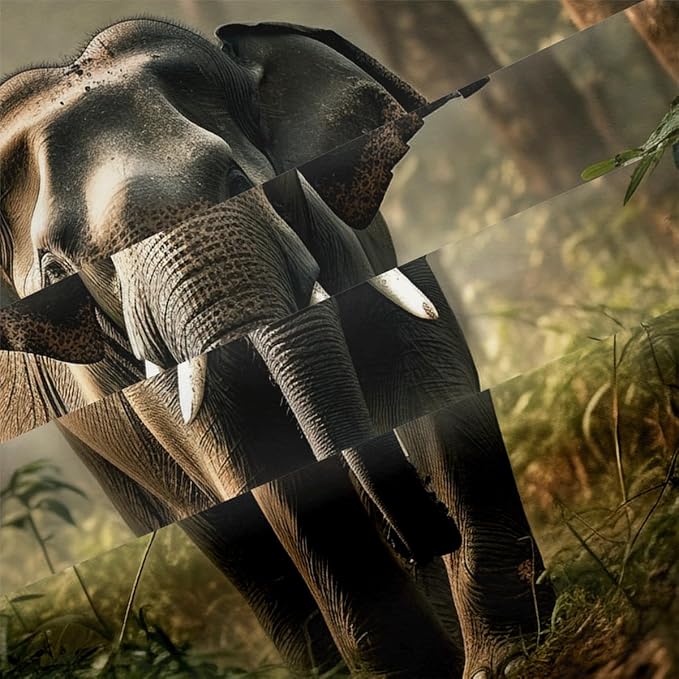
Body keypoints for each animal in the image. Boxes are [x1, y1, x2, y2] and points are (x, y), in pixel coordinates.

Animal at [0, 18, 554, 678]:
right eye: (60, 273)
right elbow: (264, 470)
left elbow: (434, 378)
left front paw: (506, 658)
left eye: (236, 180)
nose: (428, 530)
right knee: (229, 538)